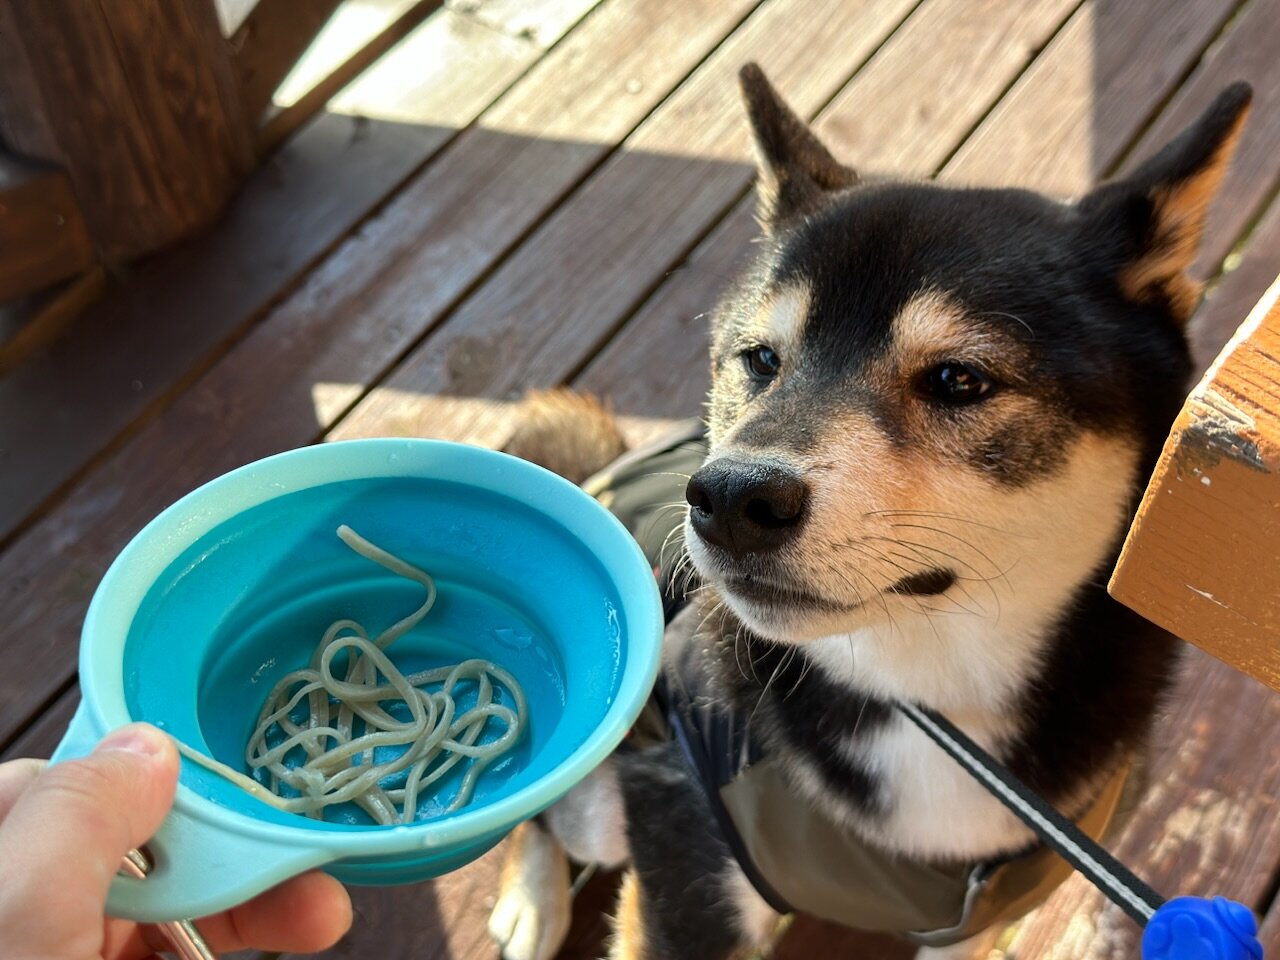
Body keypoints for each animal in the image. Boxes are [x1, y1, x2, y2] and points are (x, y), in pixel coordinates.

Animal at [486, 64, 1249, 957]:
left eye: (959, 379)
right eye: (761, 360)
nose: (731, 498)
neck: (926, 699)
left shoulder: (979, 917)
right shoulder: (686, 871)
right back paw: (531, 899)